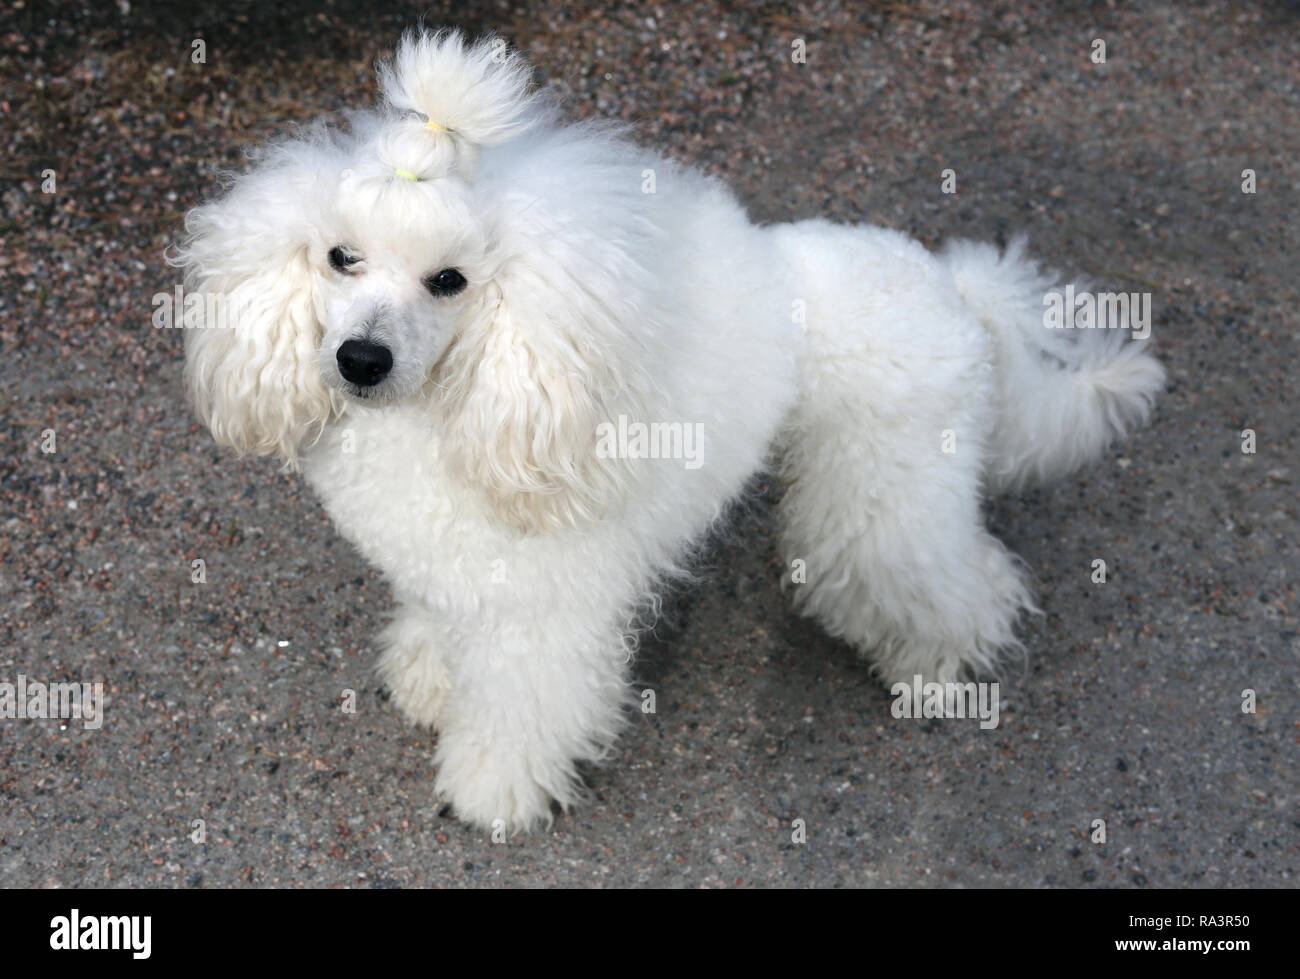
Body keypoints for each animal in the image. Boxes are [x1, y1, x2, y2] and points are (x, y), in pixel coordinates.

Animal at [170, 30, 1159, 826]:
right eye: (340, 257)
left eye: (450, 280)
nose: (359, 359)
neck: (465, 394)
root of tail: (952, 288)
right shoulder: (457, 563)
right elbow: (444, 620)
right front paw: (429, 674)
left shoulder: (548, 604)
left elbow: (528, 705)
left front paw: (493, 791)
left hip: (882, 488)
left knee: (954, 579)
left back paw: (939, 673)